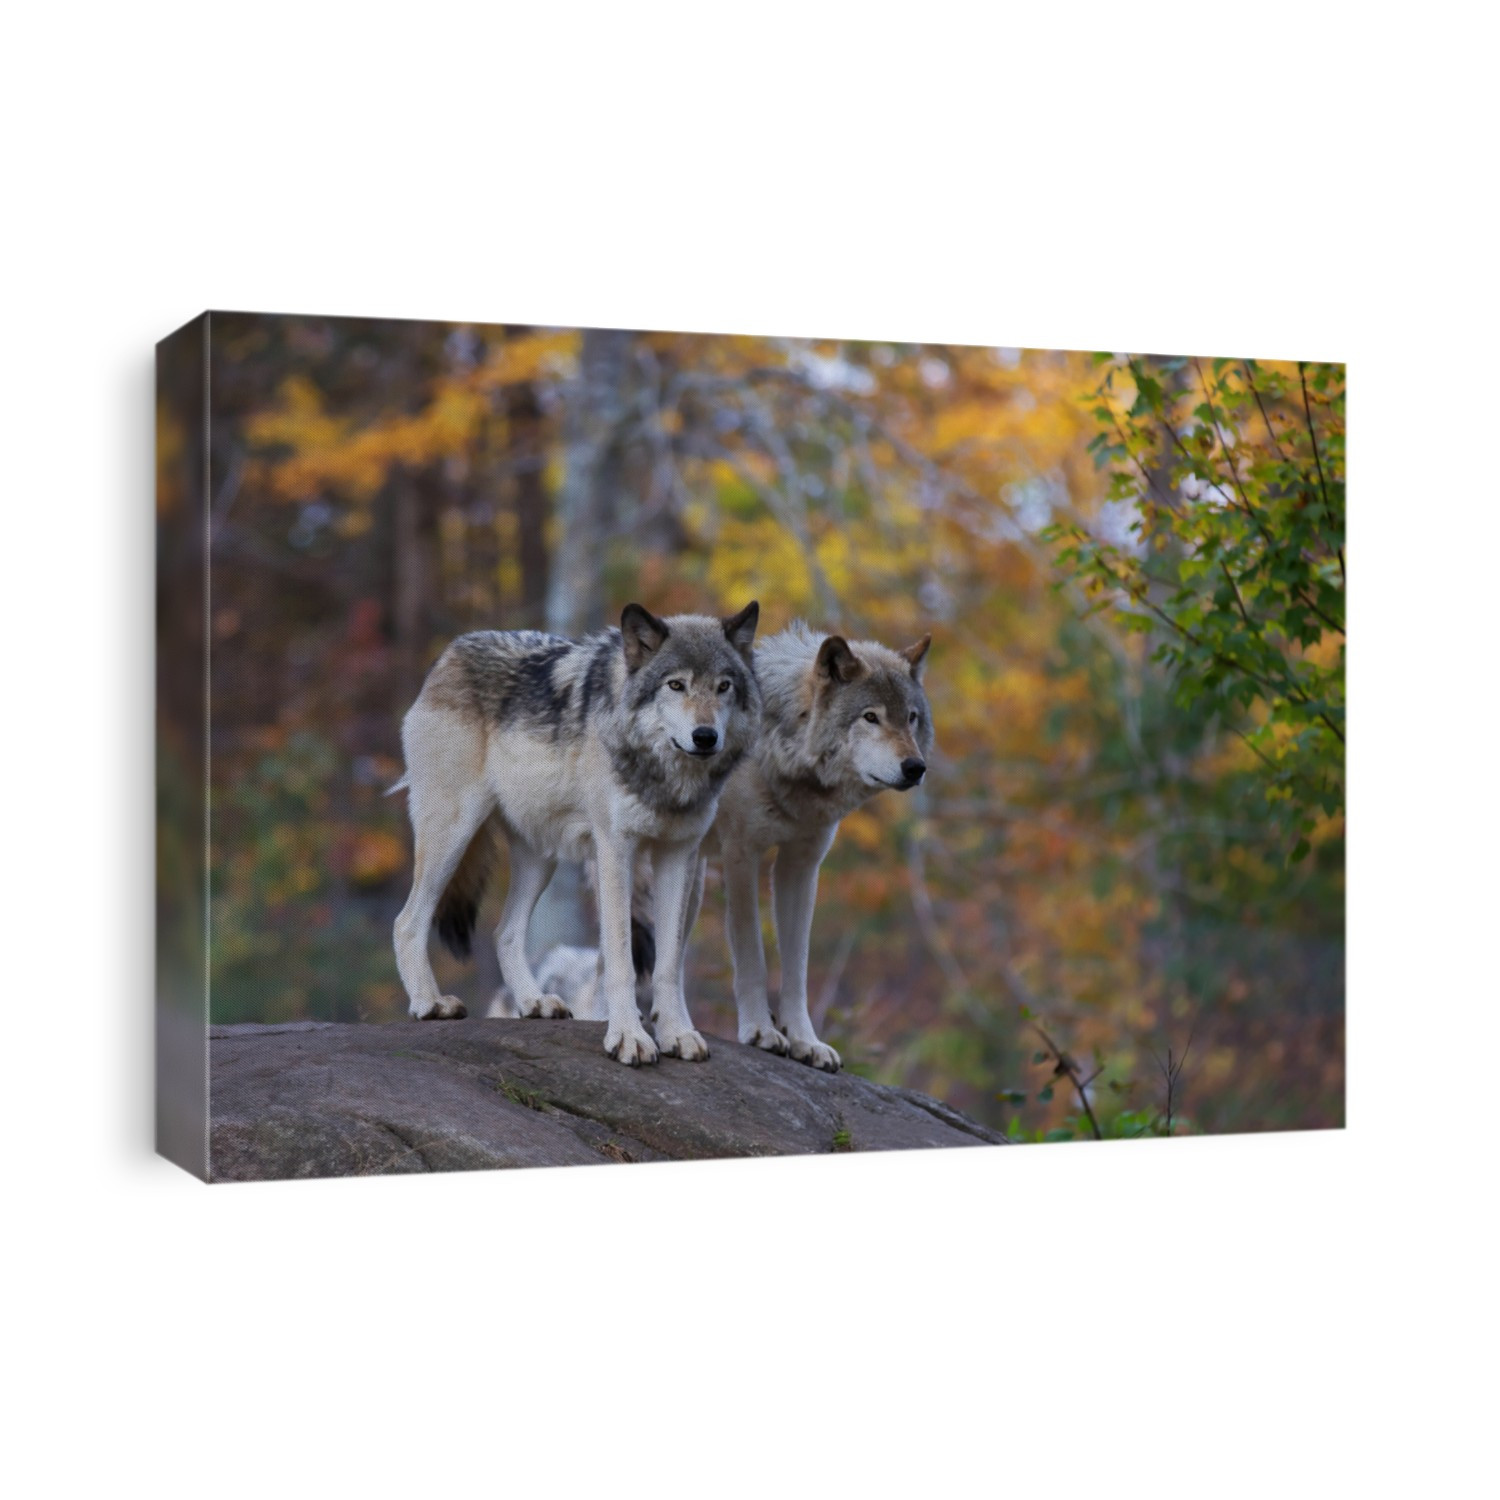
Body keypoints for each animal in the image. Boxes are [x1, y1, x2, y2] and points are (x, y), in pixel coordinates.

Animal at [390, 600, 761, 1066]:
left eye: (724, 686)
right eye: (676, 685)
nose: (705, 736)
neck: (663, 778)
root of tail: (452, 651)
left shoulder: (680, 855)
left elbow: (668, 965)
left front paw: (677, 1034)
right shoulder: (615, 851)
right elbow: (620, 960)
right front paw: (629, 1037)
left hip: (539, 857)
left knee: (504, 933)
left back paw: (534, 1002)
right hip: (452, 832)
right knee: (407, 922)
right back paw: (430, 1004)